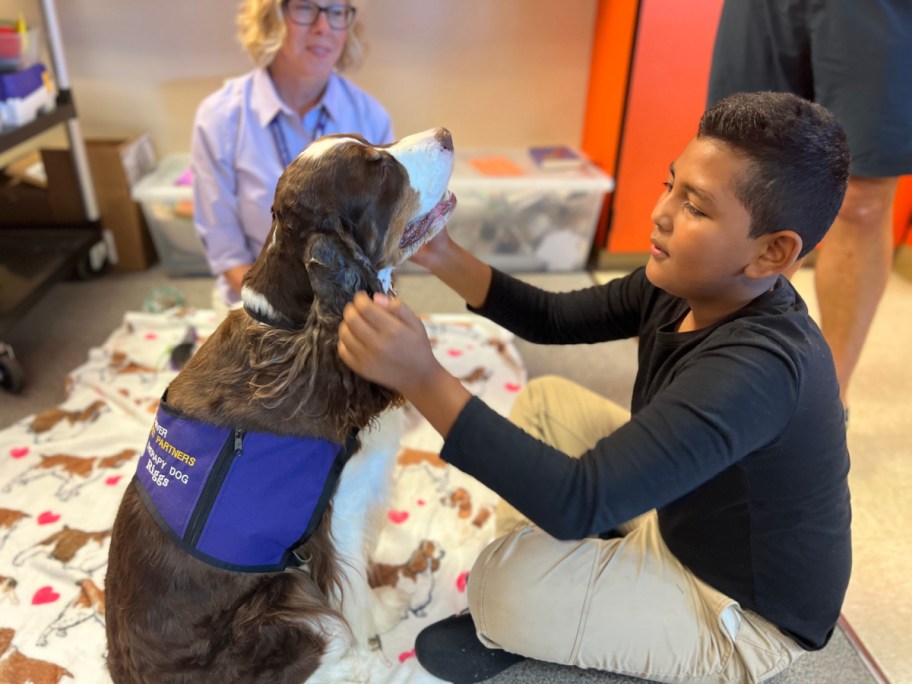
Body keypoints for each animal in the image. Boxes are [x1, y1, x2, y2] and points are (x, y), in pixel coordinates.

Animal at [104, 130, 456, 684]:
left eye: (374, 143)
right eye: (379, 167)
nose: (446, 134)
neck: (300, 328)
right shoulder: (337, 518)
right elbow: (354, 592)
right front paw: (384, 616)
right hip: (282, 602)